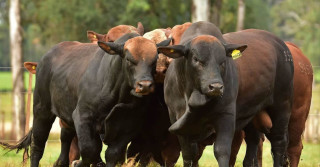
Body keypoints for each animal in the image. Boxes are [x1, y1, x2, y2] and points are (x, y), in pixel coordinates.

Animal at [158, 21, 296, 166]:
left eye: (222, 60)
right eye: (196, 59)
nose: (216, 87)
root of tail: (282, 45)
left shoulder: (226, 116)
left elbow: (222, 151)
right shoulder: (176, 118)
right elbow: (188, 153)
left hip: (282, 106)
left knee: (279, 142)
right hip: (252, 113)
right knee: (253, 141)